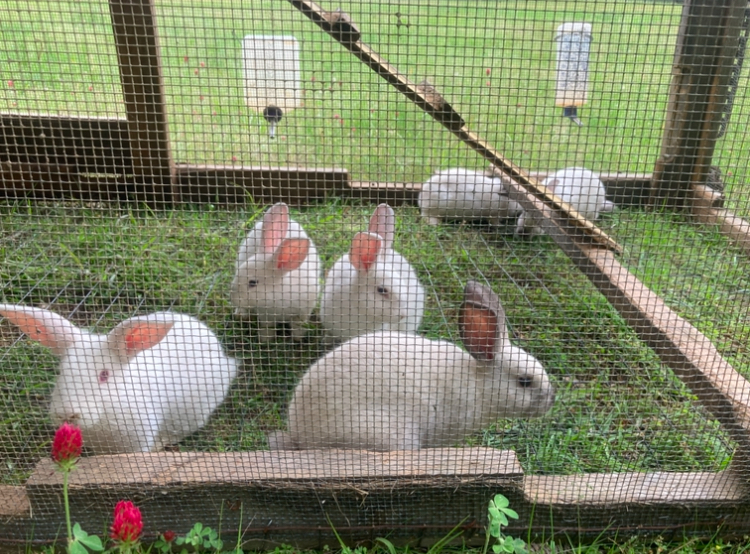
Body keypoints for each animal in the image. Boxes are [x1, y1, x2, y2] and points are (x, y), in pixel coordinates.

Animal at [230, 202, 322, 341]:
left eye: (253, 283)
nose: (233, 298)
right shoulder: (265, 314)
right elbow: (267, 326)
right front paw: (265, 340)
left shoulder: (304, 309)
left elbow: (297, 325)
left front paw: (298, 338)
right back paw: (241, 314)